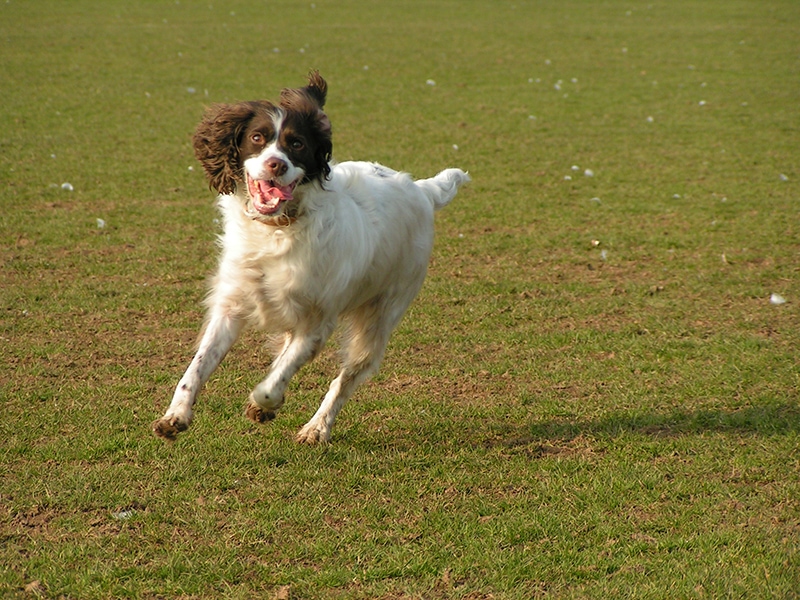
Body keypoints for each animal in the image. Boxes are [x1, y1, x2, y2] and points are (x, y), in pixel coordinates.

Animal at [152, 72, 468, 442]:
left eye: (297, 144)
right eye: (257, 137)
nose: (276, 164)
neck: (278, 229)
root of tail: (422, 189)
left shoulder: (317, 322)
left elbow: (272, 384)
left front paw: (262, 405)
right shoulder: (231, 306)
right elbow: (197, 368)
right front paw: (176, 415)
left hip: (379, 319)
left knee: (345, 379)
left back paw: (317, 427)